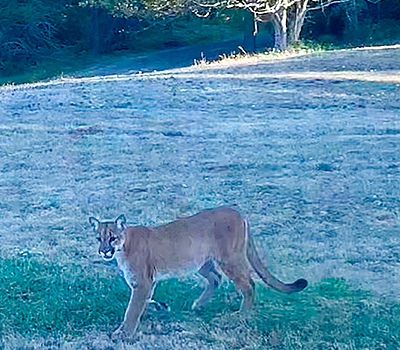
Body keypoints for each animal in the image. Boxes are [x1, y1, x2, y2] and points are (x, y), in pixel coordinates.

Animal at [89, 206, 308, 340]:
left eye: (113, 238)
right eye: (99, 238)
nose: (103, 251)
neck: (123, 247)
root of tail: (239, 214)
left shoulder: (142, 281)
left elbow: (132, 309)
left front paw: (123, 333)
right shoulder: (148, 282)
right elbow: (144, 302)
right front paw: (157, 308)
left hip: (229, 259)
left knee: (248, 285)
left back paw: (241, 315)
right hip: (203, 263)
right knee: (216, 279)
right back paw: (198, 305)